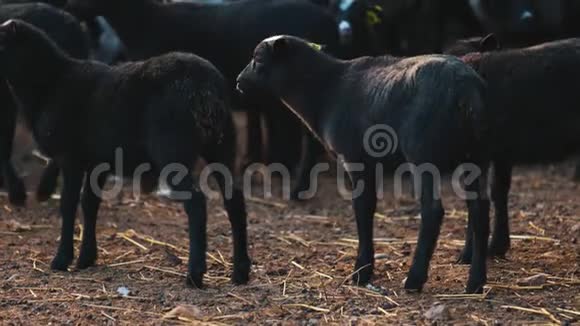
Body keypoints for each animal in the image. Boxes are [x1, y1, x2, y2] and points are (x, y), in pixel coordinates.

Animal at [238, 35, 492, 292]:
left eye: (258, 58)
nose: (239, 81)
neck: (326, 90)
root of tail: (466, 88)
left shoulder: (355, 159)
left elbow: (363, 209)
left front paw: (361, 271)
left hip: (423, 154)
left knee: (432, 211)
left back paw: (414, 279)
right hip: (476, 156)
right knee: (480, 209)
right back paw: (475, 282)